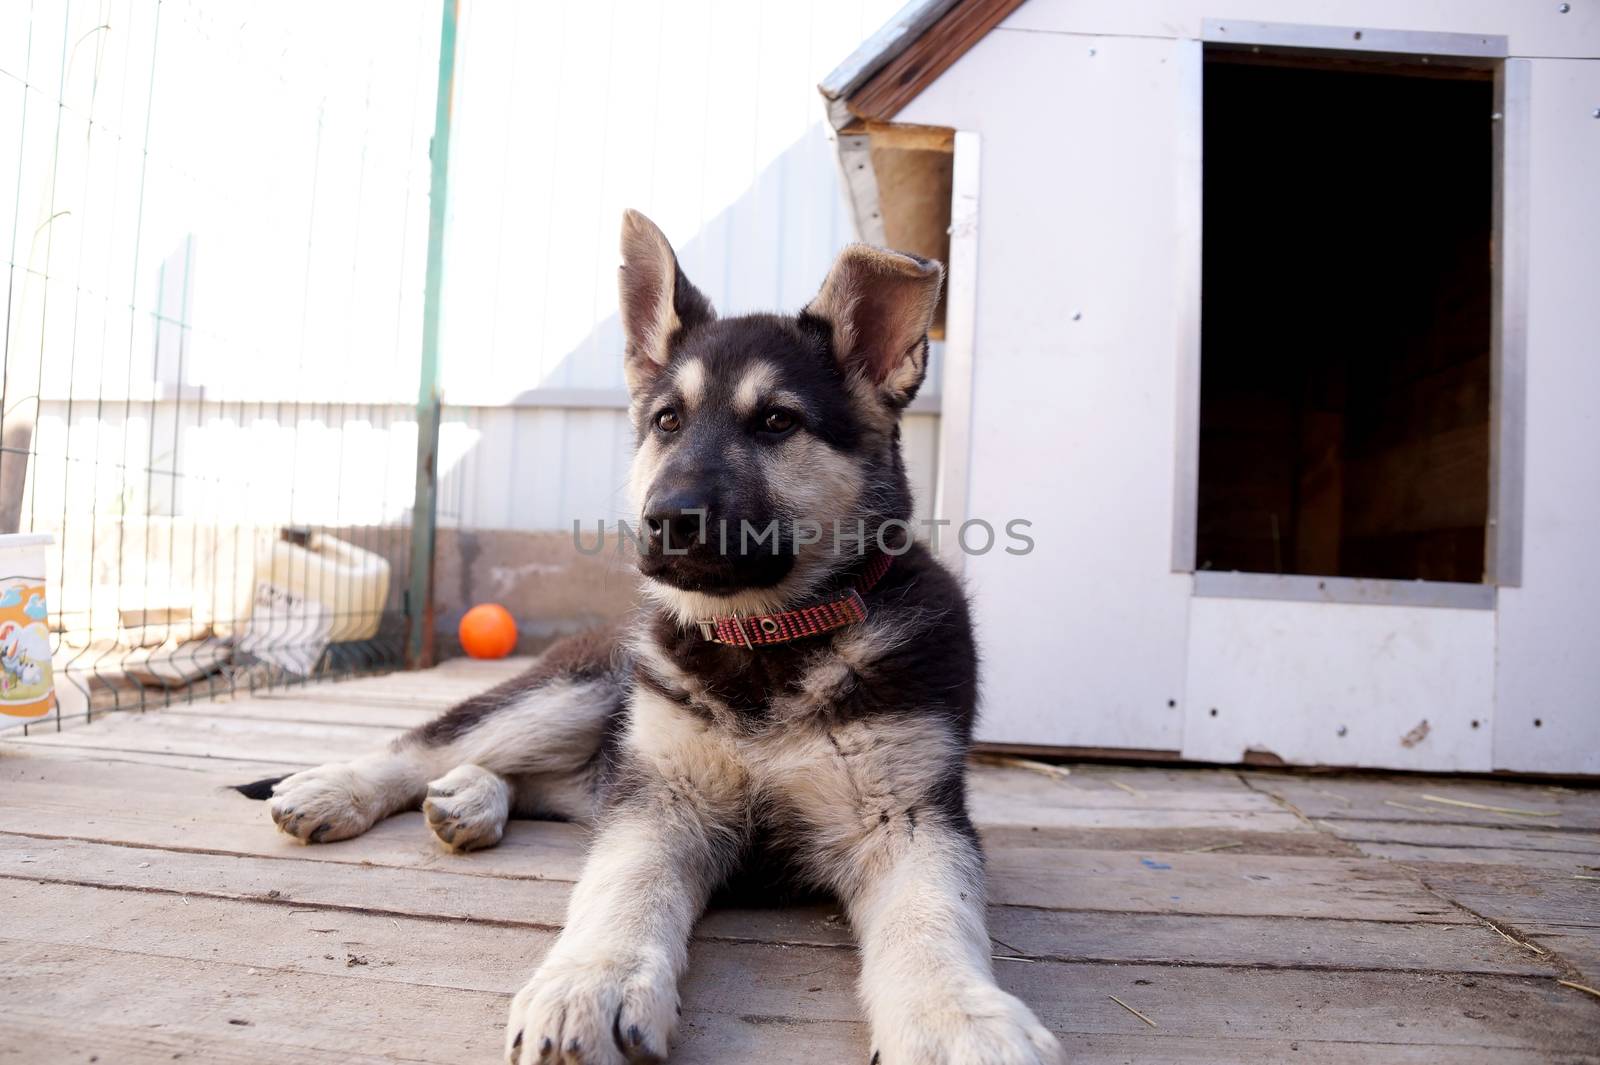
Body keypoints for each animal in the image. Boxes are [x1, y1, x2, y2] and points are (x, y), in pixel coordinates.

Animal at [246, 209, 1062, 1061]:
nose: (665, 520)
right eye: (668, 420)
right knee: (437, 744)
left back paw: (473, 799)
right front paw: (592, 980)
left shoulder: (909, 816)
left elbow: (933, 914)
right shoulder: (661, 797)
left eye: (777, 421)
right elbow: (623, 883)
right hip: (579, 688)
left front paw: (957, 1017)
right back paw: (342, 787)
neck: (766, 637)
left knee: (548, 780)